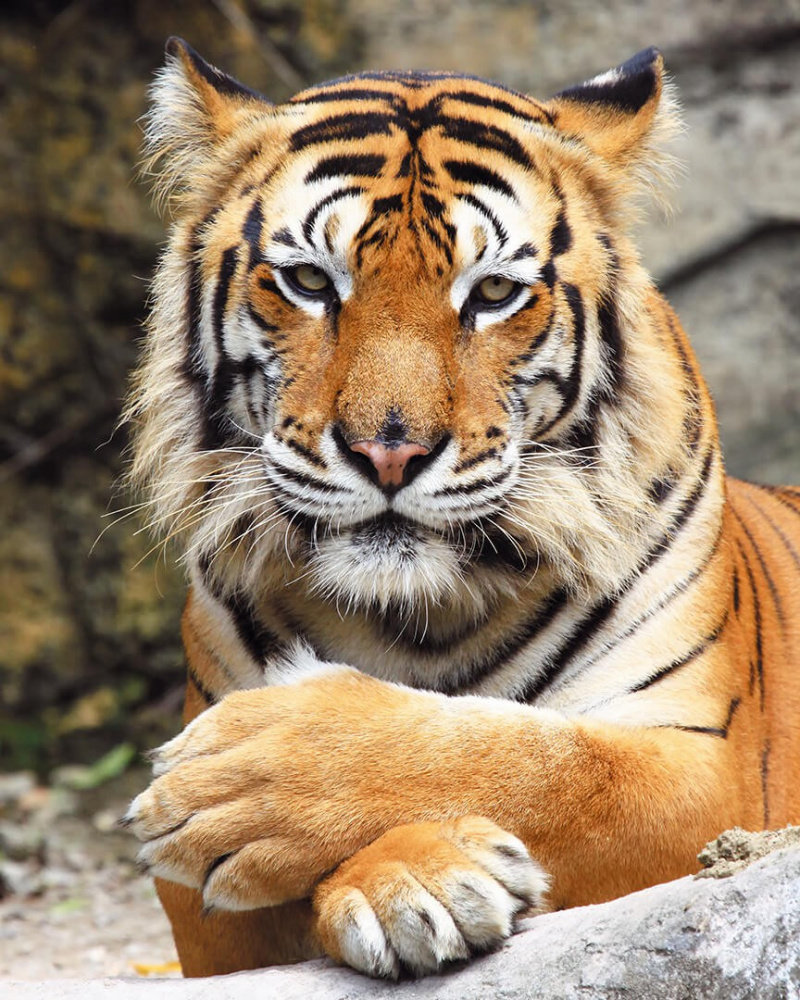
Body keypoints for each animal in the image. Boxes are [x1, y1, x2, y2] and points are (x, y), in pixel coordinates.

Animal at [121, 38, 800, 980]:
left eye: (491, 294)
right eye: (308, 282)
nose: (389, 451)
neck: (419, 617)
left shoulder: (712, 772)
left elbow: (542, 762)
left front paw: (250, 783)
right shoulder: (208, 927)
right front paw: (417, 878)